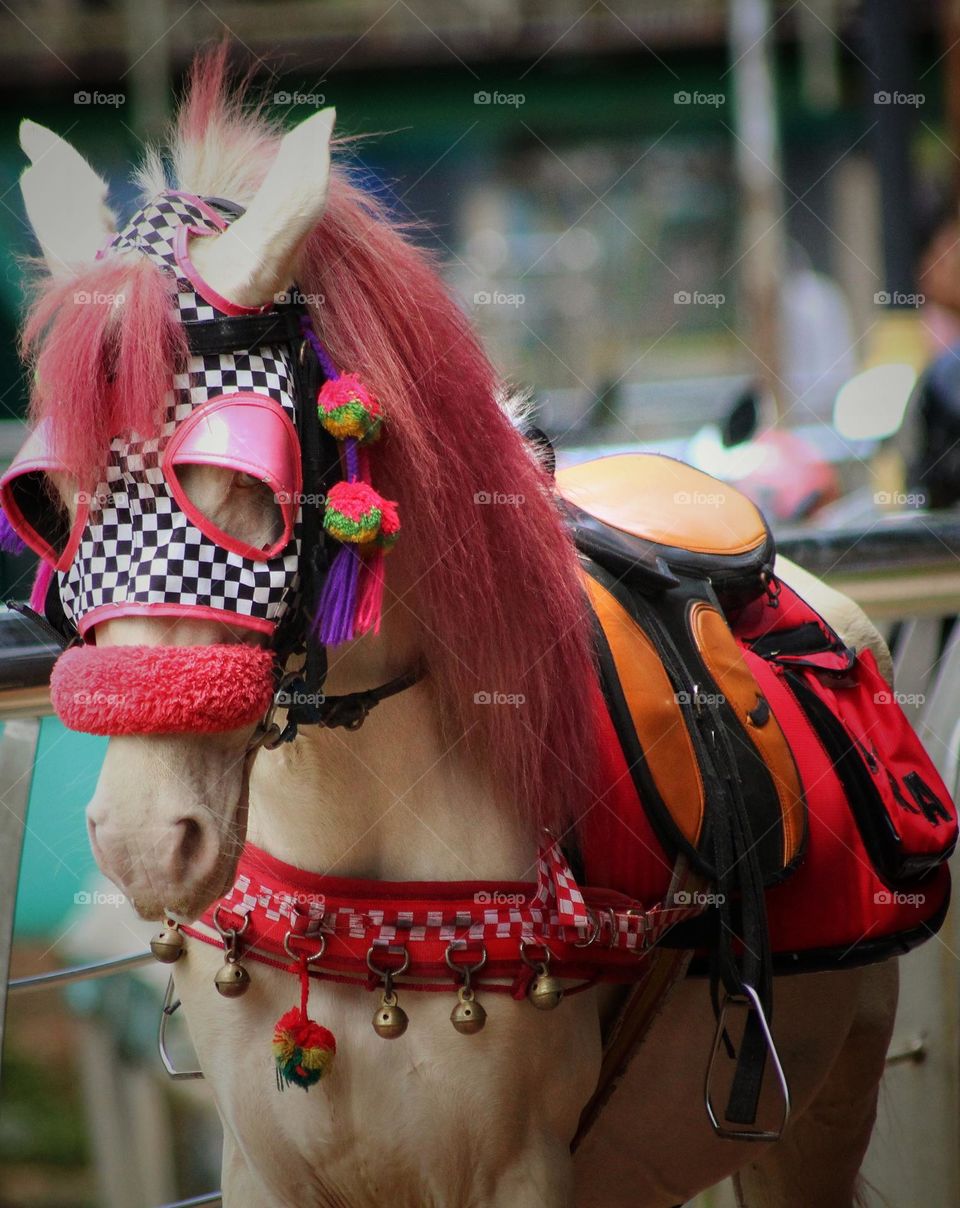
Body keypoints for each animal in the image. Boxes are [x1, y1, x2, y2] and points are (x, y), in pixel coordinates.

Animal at [9, 51, 899, 1207]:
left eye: (245, 483)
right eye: (46, 498)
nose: (142, 839)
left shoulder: (518, 1169)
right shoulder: (259, 1162)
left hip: (826, 1109)